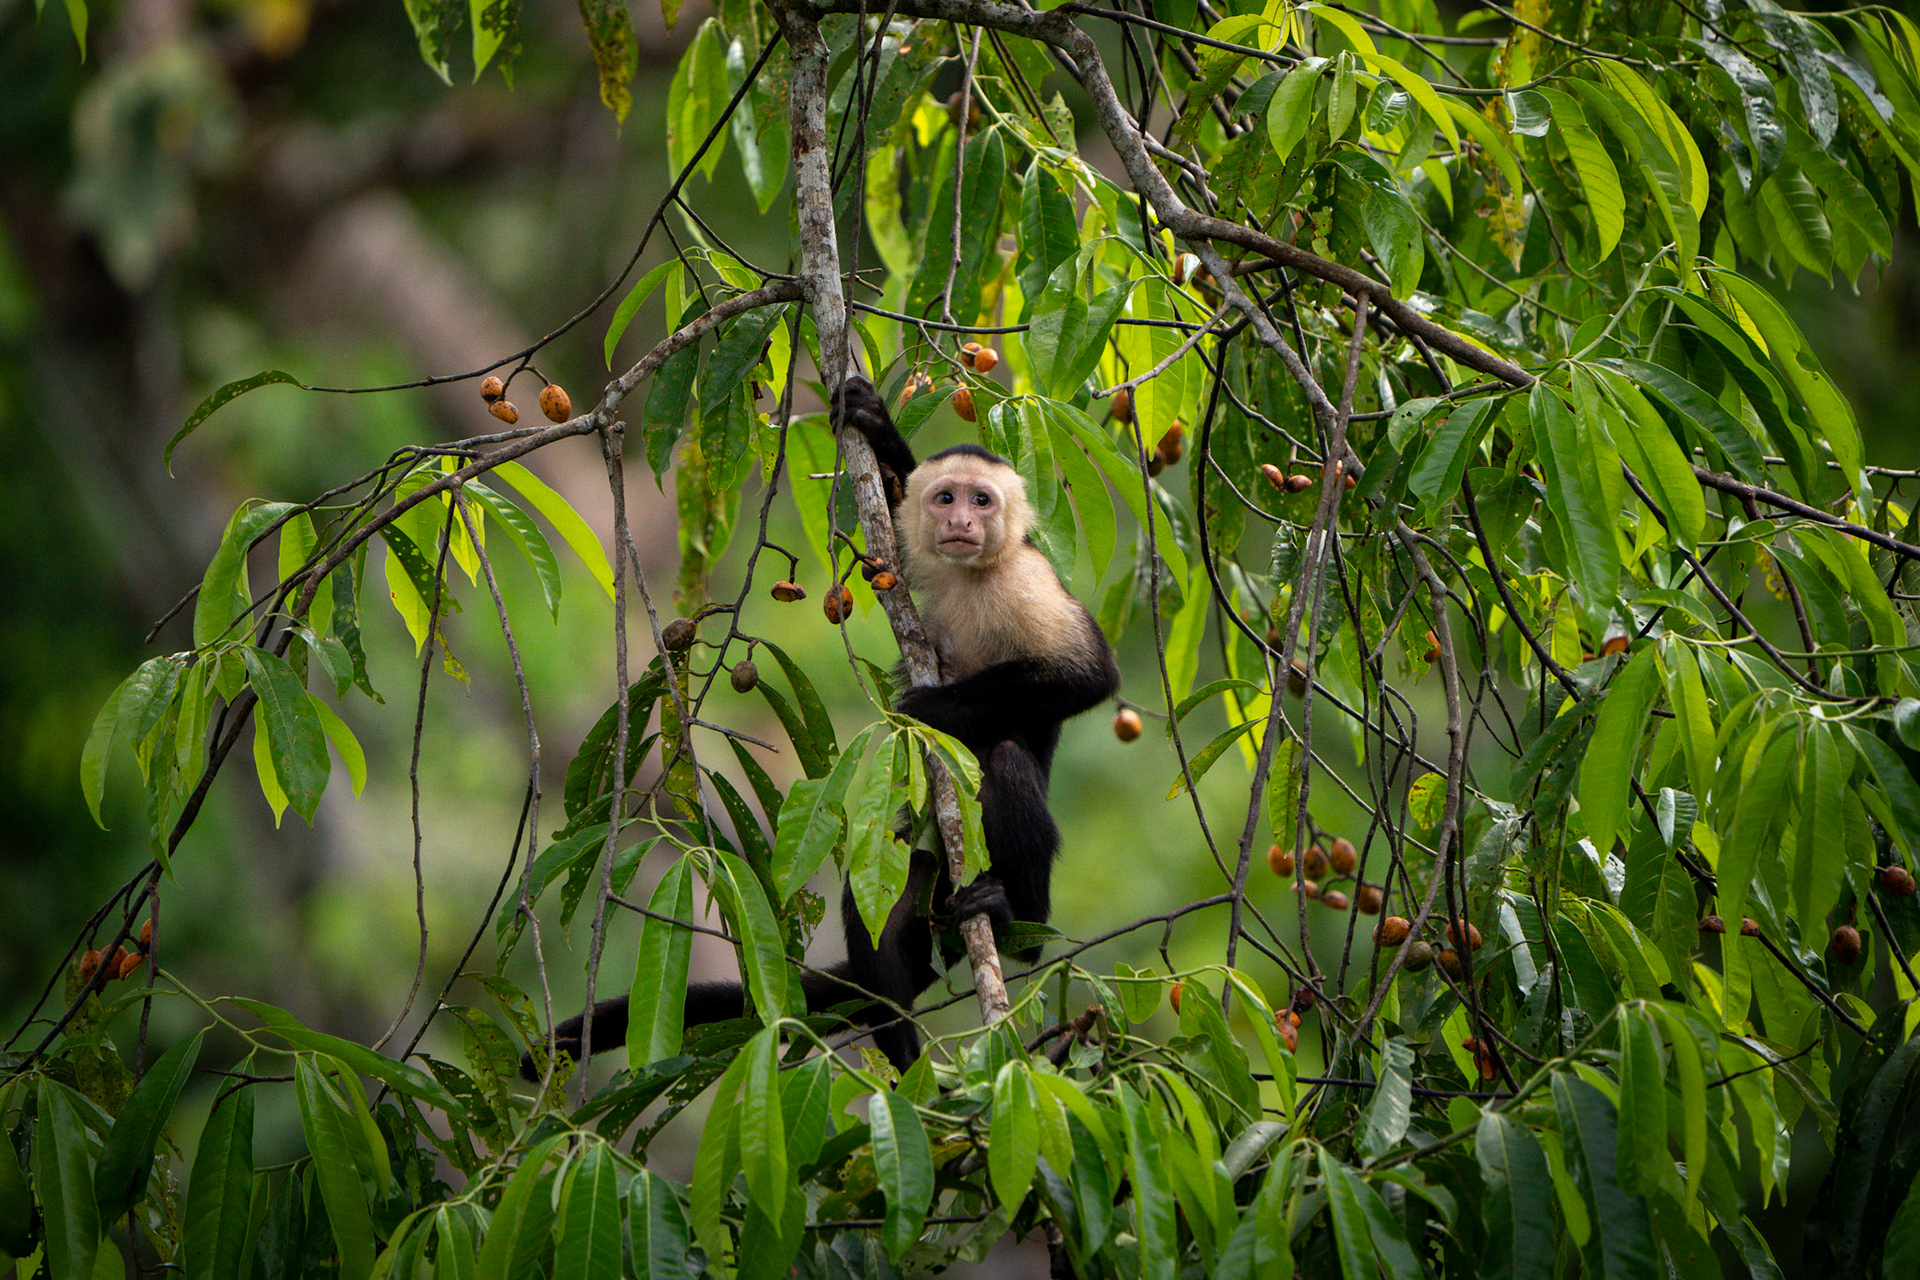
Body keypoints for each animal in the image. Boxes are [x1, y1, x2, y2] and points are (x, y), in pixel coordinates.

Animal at [525, 374, 1118, 1075]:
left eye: (982, 499)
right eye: (946, 497)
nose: (961, 522)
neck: (972, 576)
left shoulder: (1025, 579)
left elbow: (1089, 676)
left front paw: (931, 710)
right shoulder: (920, 559)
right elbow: (890, 523)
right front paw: (875, 422)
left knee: (1004, 764)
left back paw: (1012, 920)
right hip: (927, 890)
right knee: (890, 875)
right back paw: (899, 1043)